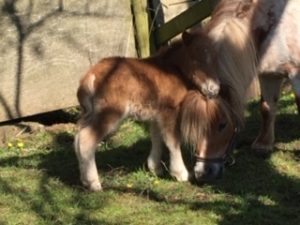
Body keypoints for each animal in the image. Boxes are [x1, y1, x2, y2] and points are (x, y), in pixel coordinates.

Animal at [74, 31, 232, 190]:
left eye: (215, 59)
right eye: (195, 59)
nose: (213, 89)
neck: (173, 70)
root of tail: (90, 76)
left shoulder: (157, 114)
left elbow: (157, 137)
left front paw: (155, 168)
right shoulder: (170, 111)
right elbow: (173, 140)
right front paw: (181, 174)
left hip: (89, 114)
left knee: (78, 137)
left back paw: (84, 180)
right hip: (109, 113)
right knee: (86, 139)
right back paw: (94, 183)